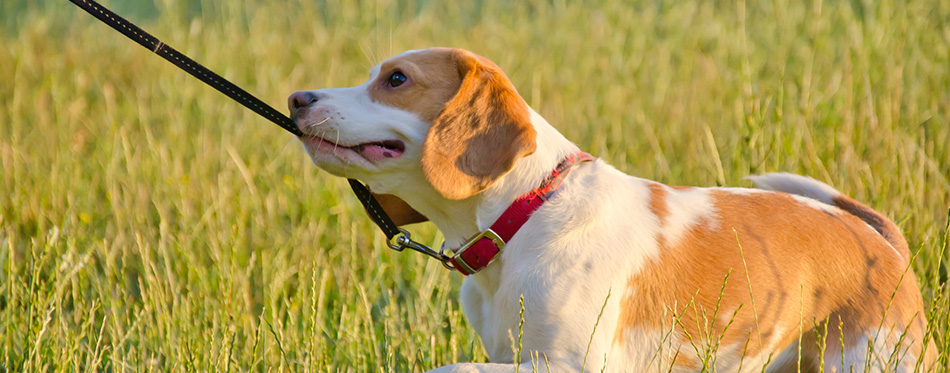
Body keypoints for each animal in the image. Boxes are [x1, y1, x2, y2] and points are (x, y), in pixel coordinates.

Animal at [290, 48, 936, 370]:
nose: (296, 98)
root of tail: (878, 239)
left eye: (396, 79)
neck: (523, 217)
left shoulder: (571, 366)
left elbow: (450, 370)